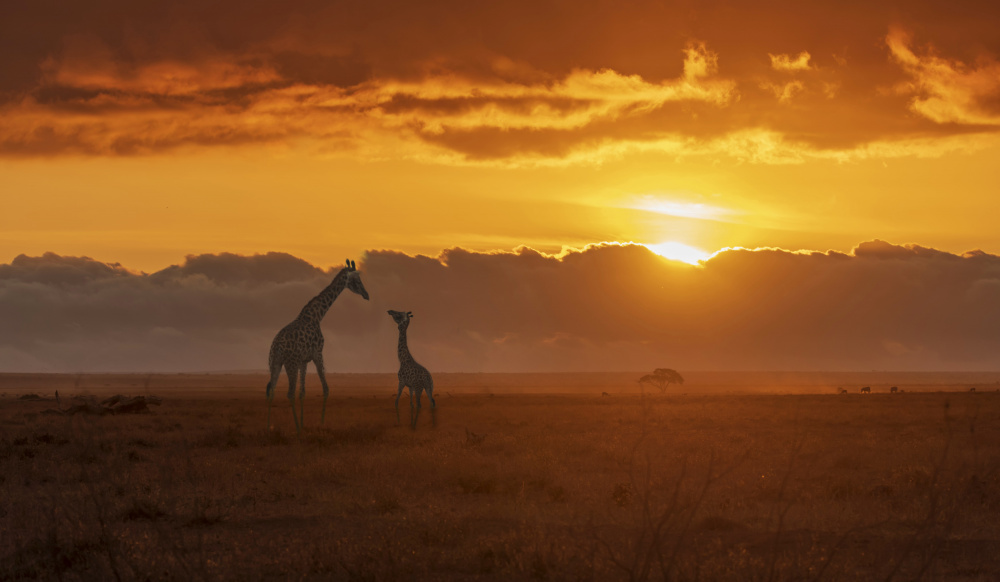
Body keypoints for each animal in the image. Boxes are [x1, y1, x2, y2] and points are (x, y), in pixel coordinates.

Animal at [268, 260, 370, 434]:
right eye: (356, 280)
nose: (366, 295)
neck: (317, 316)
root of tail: (276, 347)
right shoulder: (318, 354)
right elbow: (326, 389)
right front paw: (321, 423)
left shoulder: (304, 360)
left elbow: (302, 392)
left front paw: (304, 423)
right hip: (290, 364)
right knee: (289, 393)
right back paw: (296, 429)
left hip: (274, 363)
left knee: (271, 390)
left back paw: (267, 427)